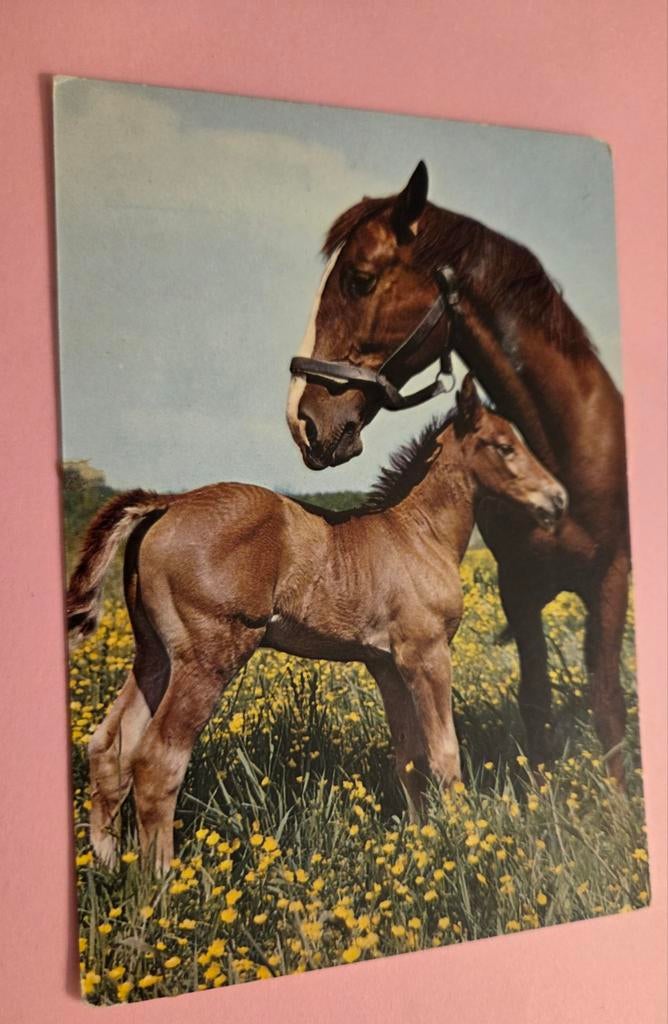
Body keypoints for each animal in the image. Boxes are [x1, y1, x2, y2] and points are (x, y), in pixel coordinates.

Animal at [66, 375, 566, 871]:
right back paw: (161, 880)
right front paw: (465, 839)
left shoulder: (387, 664)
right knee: (156, 761)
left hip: (153, 655)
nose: (558, 499)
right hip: (207, 658)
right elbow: (445, 754)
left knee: (108, 747)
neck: (418, 533)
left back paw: (107, 863)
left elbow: (409, 756)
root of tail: (166, 504)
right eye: (503, 446)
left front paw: (421, 839)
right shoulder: (427, 654)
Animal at [286, 161, 631, 785]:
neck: (562, 447)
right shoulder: (519, 586)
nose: (302, 420)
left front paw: (618, 802)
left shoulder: (609, 577)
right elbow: (535, 699)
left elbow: (607, 700)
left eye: (360, 280)